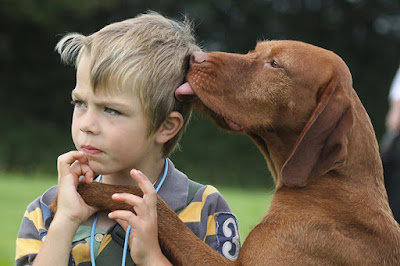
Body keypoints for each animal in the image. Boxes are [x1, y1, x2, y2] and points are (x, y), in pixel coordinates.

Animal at [51, 40, 400, 264]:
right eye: (255, 49)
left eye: (275, 64)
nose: (194, 57)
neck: (328, 186)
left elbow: (161, 212)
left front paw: (90, 191)